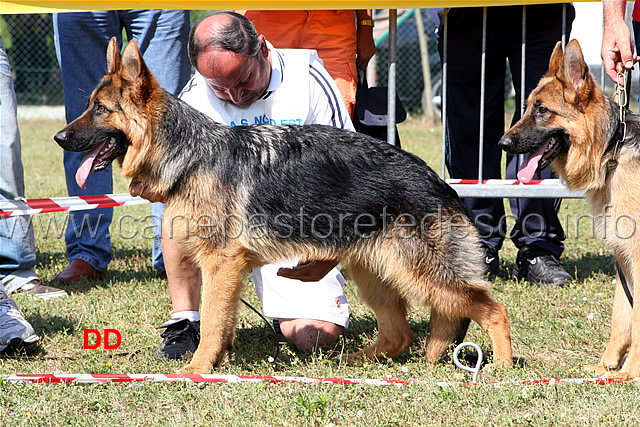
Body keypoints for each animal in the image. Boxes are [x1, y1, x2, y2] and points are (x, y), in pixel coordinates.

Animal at [55, 38, 516, 372]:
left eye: (100, 109)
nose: (59, 138)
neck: (190, 153)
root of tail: (440, 183)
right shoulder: (223, 268)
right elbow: (220, 321)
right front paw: (216, 362)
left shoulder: (221, 264)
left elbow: (212, 323)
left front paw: (198, 371)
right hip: (376, 273)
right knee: (400, 334)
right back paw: (360, 361)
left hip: (419, 273)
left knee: (492, 308)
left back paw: (503, 367)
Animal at [500, 38, 640, 376]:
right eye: (527, 107)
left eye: (542, 110)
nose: (502, 144)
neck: (612, 153)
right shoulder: (624, 259)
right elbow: (622, 318)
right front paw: (606, 367)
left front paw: (630, 371)